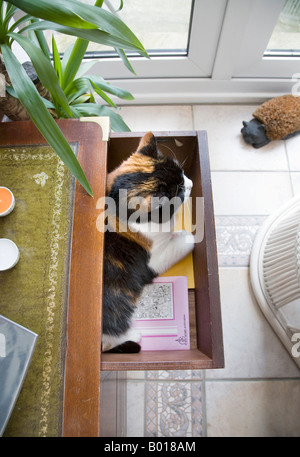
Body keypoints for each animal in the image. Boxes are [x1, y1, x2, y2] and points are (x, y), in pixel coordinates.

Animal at [102, 132, 193, 352]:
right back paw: (133, 336)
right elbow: (188, 239)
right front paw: (183, 234)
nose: (192, 183)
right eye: (179, 191)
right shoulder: (154, 259)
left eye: (183, 173)